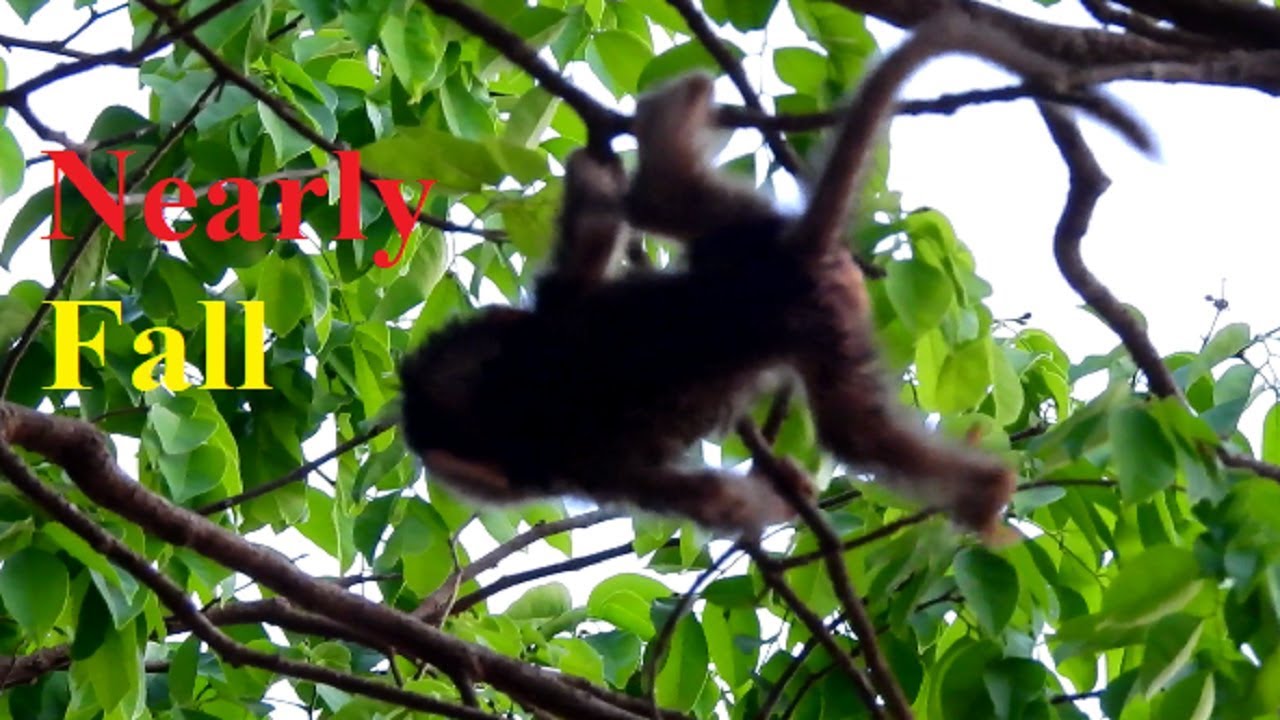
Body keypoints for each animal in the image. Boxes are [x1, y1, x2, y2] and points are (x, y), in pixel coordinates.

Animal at [397, 12, 1154, 541]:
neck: (518, 392)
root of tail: (792, 256)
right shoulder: (568, 363)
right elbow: (585, 255)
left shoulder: (593, 462)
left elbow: (713, 499)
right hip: (759, 247)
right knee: (665, 198)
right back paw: (683, 103)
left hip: (801, 300)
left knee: (854, 433)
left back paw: (985, 490)